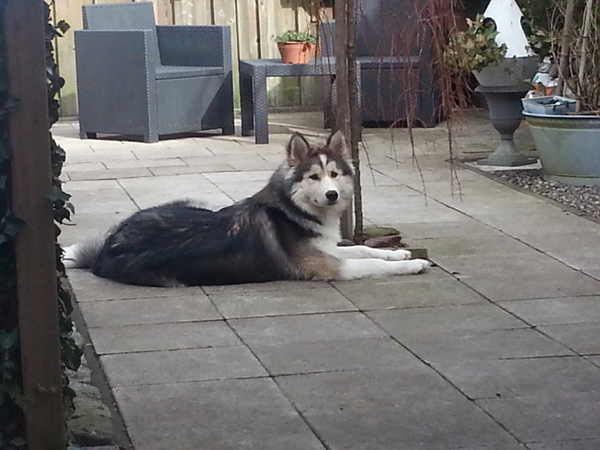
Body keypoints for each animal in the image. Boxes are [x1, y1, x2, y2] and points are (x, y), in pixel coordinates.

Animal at [63, 130, 428, 286]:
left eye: (335, 175)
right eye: (314, 177)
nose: (332, 195)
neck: (294, 210)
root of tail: (107, 247)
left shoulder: (329, 247)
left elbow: (364, 249)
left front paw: (400, 253)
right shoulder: (329, 267)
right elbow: (369, 263)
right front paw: (413, 265)